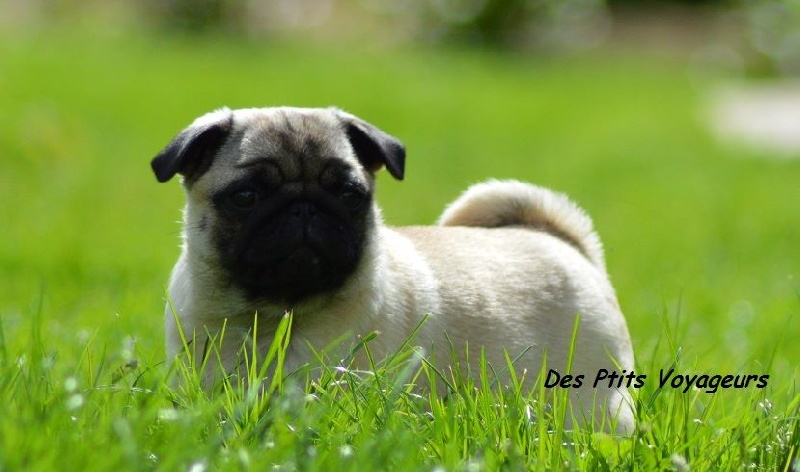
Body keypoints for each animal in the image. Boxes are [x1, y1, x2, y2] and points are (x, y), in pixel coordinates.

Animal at [151, 106, 635, 433]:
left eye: (349, 194)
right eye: (246, 196)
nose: (303, 207)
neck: (270, 318)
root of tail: (561, 241)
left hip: (593, 400)